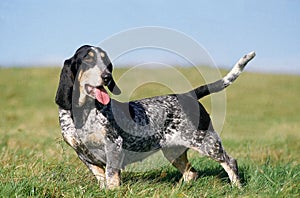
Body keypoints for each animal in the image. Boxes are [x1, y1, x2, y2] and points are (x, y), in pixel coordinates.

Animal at [55, 44, 254, 189]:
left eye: (105, 61)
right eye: (87, 58)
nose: (107, 76)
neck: (83, 113)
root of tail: (189, 95)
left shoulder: (113, 145)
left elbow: (111, 175)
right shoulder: (84, 154)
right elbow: (101, 177)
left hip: (206, 142)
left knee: (230, 162)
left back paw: (237, 188)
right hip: (173, 151)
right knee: (191, 173)